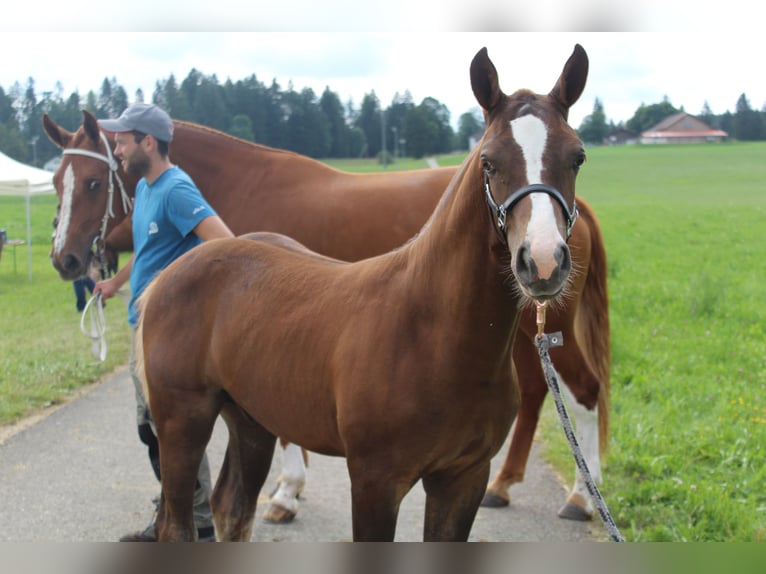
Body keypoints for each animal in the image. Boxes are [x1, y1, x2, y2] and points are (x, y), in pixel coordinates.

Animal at [43, 48, 612, 528]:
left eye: (579, 156)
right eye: (488, 160)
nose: (65, 258)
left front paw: (287, 493)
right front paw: (288, 492)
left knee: (582, 391)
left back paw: (576, 496)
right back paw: (521, 485)